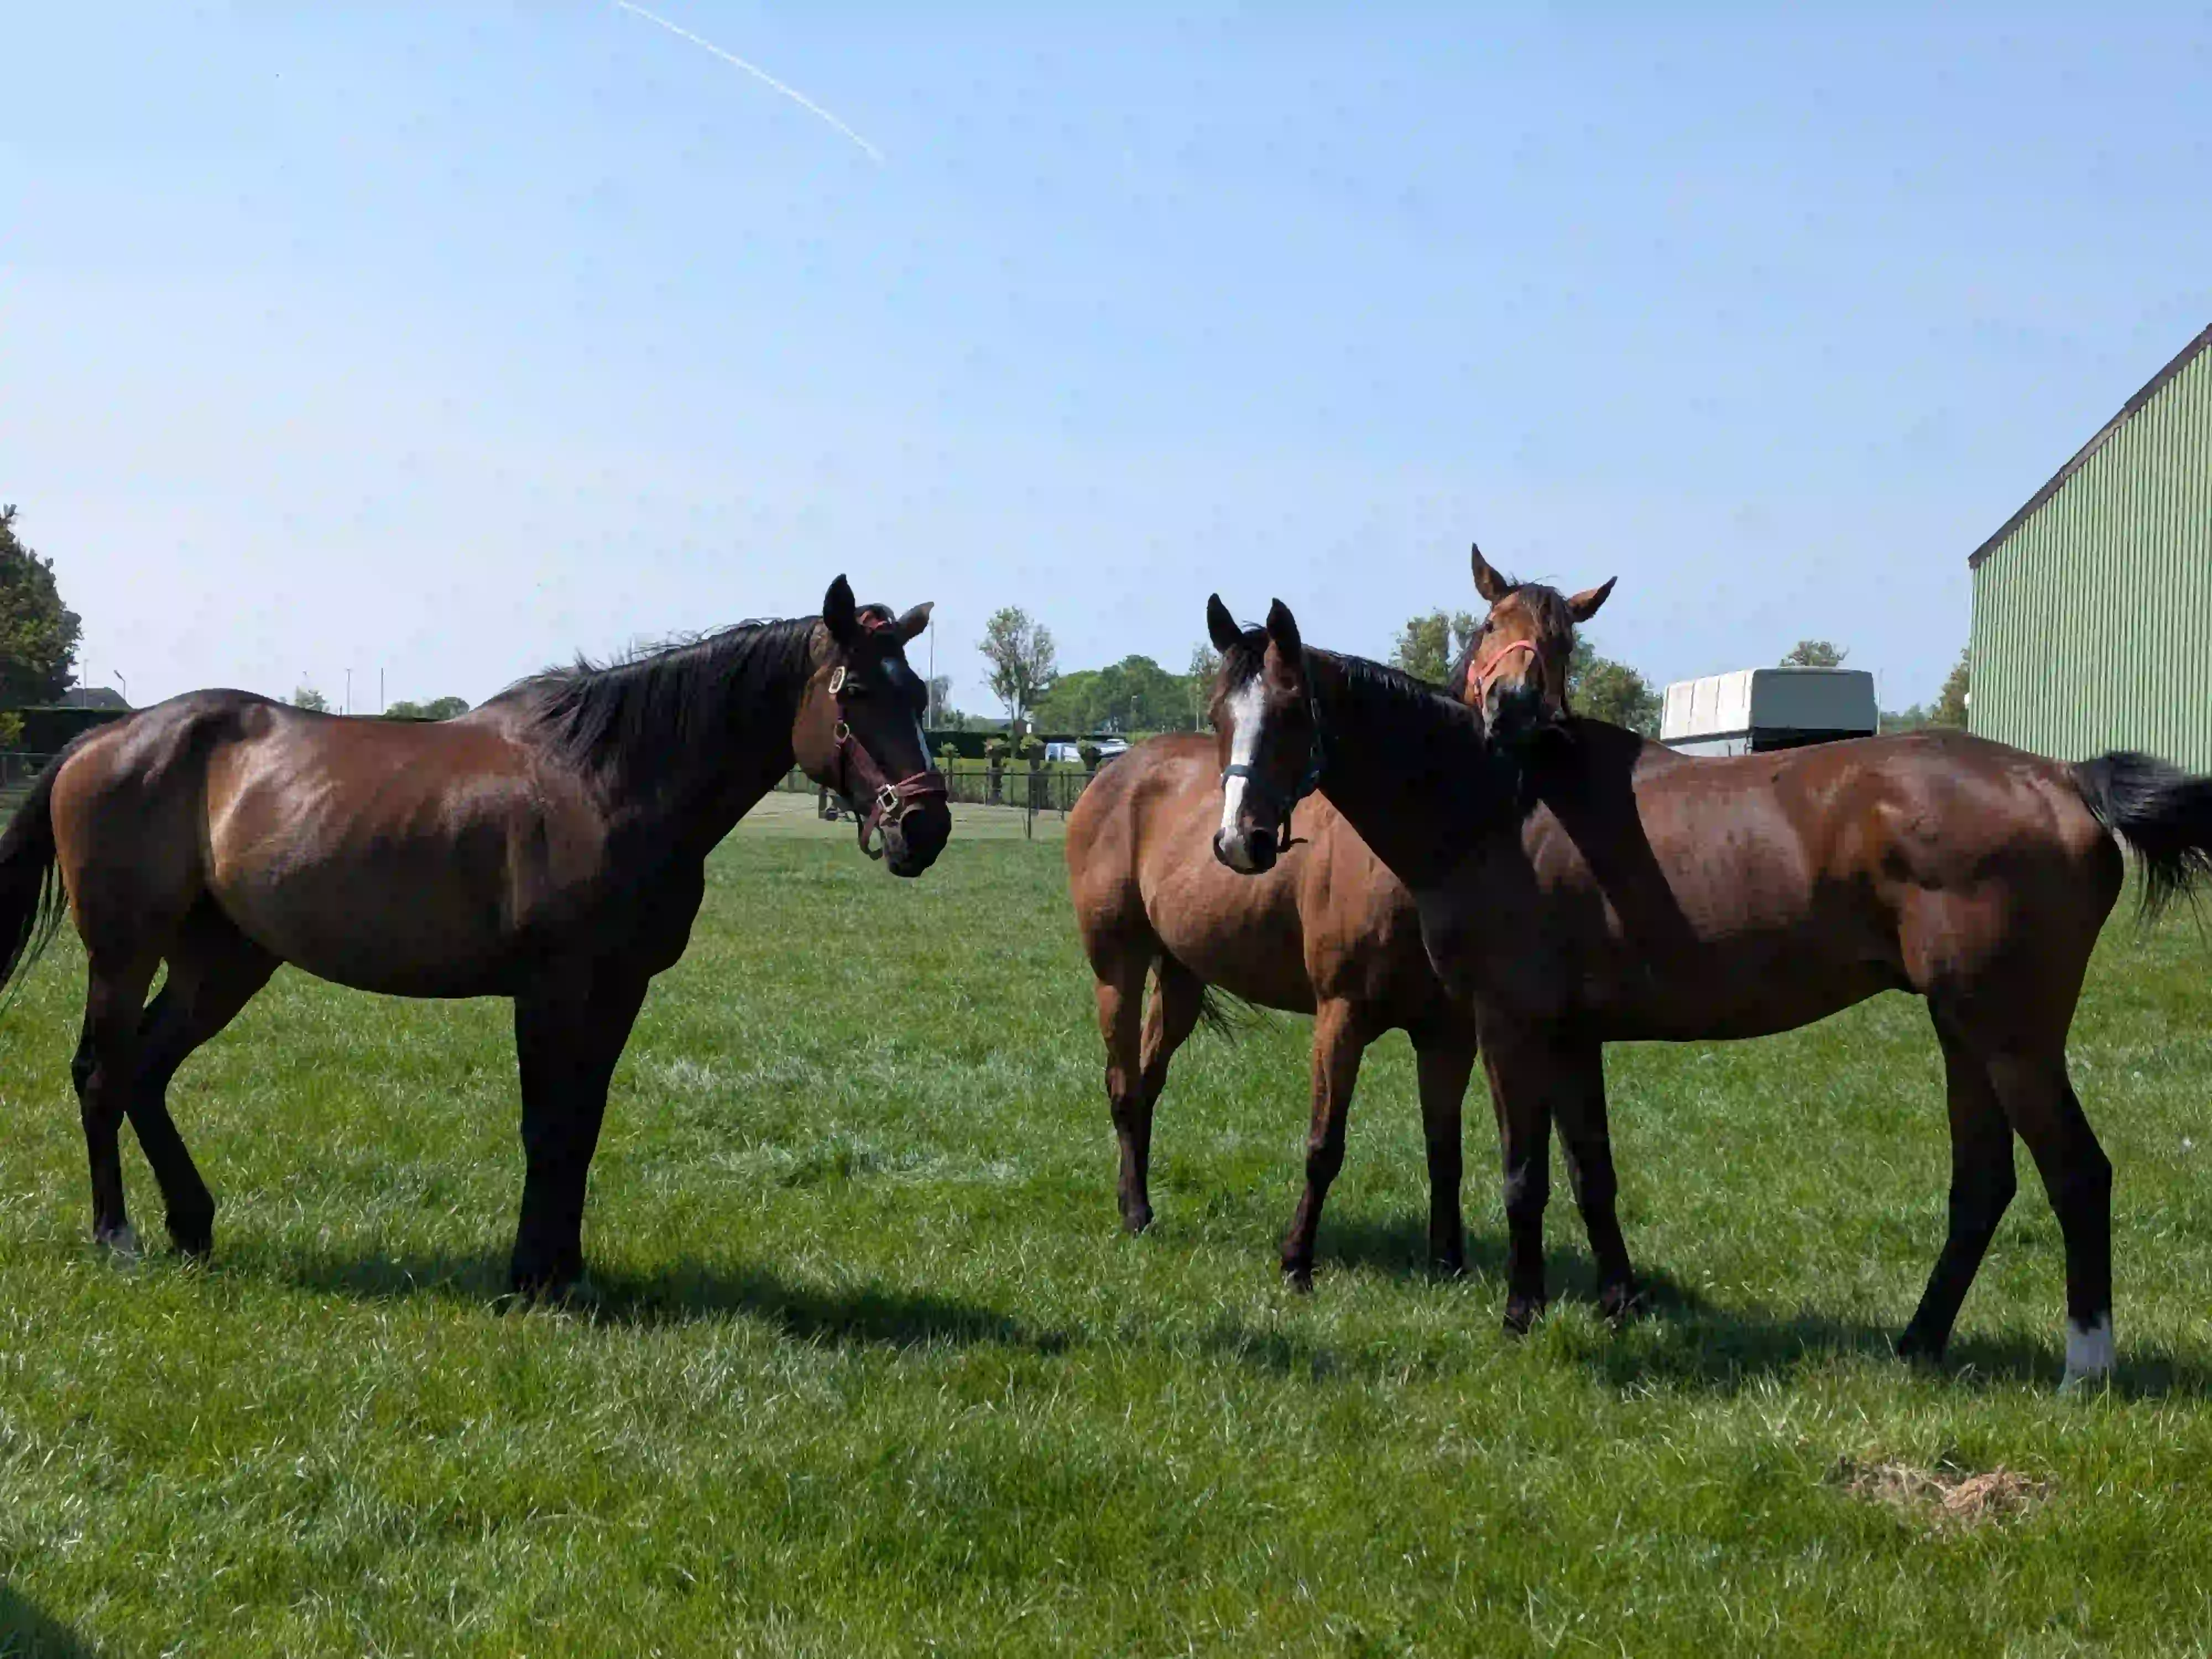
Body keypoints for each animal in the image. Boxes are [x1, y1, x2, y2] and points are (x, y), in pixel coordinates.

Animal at [0, 575, 952, 1296]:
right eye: (859, 693)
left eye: (920, 694)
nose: (926, 827)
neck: (608, 780)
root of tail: (104, 737)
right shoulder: (551, 989)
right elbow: (546, 1126)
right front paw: (530, 1277)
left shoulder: (619, 989)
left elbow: (583, 1124)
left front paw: (566, 1272)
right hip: (124, 953)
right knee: (103, 1075)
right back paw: (117, 1237)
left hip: (224, 962)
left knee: (147, 1073)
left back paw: (193, 1226)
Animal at [1205, 567, 2212, 1388]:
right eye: (1221, 715)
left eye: (1292, 712)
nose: (1239, 843)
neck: (1499, 806)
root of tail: (2065, 779)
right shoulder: (1572, 1035)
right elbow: (1592, 1169)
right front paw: (1617, 1303)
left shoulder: (1510, 1024)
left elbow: (1525, 1175)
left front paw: (1521, 1314)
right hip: (1962, 1032)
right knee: (1983, 1186)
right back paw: (1917, 1344)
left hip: (2012, 1037)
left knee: (2077, 1174)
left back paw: (2086, 1366)